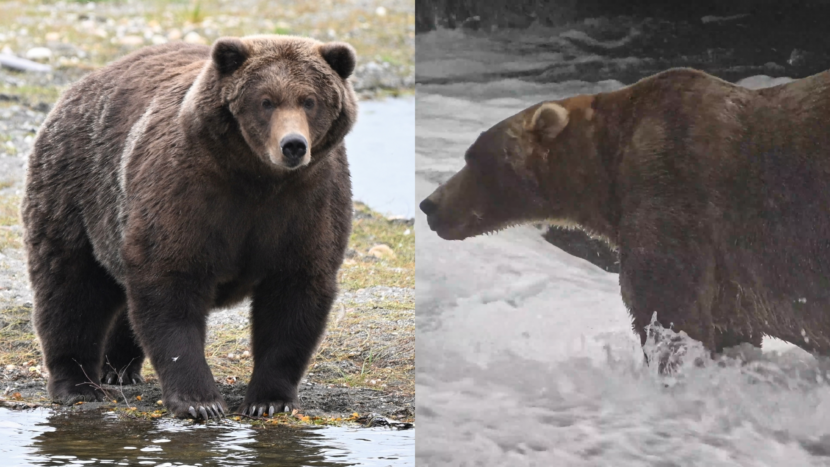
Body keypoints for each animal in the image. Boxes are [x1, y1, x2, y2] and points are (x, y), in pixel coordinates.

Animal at [22, 35, 358, 419]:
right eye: (266, 101)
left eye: (310, 100)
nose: (293, 145)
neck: (258, 178)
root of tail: (78, 87)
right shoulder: (188, 192)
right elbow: (170, 285)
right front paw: (201, 401)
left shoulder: (307, 203)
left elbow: (294, 296)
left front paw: (269, 401)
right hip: (76, 192)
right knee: (70, 288)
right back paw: (77, 385)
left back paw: (118, 368)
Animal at [420, 68, 830, 359]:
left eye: (474, 158)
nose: (430, 204)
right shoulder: (730, 278)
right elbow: (731, 329)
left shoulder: (673, 195)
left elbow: (668, 309)